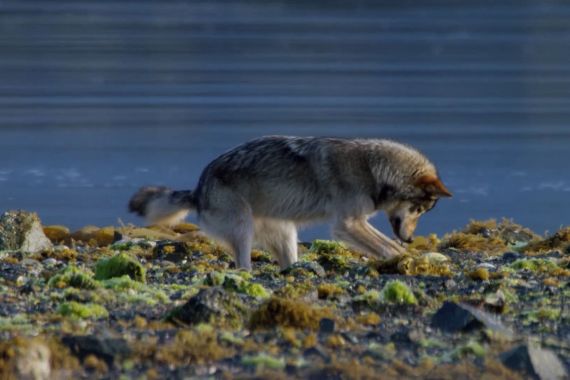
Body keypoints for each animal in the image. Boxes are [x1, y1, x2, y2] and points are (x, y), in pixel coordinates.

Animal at [127, 137, 448, 270]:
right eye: (420, 209)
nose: (412, 238)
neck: (373, 170)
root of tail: (197, 188)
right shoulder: (347, 224)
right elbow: (386, 246)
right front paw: (403, 258)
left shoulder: (354, 223)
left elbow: (386, 244)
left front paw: (409, 255)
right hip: (243, 229)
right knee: (242, 264)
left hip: (286, 235)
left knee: (286, 262)